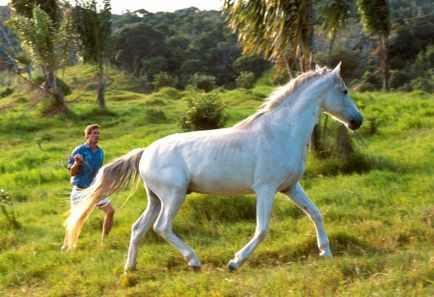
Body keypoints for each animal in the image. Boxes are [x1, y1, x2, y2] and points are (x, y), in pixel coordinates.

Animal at [63, 63, 362, 270]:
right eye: (345, 90)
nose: (357, 121)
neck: (280, 132)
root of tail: (145, 151)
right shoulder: (266, 189)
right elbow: (262, 229)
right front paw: (235, 262)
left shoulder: (290, 187)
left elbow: (316, 214)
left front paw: (326, 252)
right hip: (174, 195)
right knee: (162, 227)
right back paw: (194, 261)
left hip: (156, 199)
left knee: (139, 229)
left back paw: (130, 268)